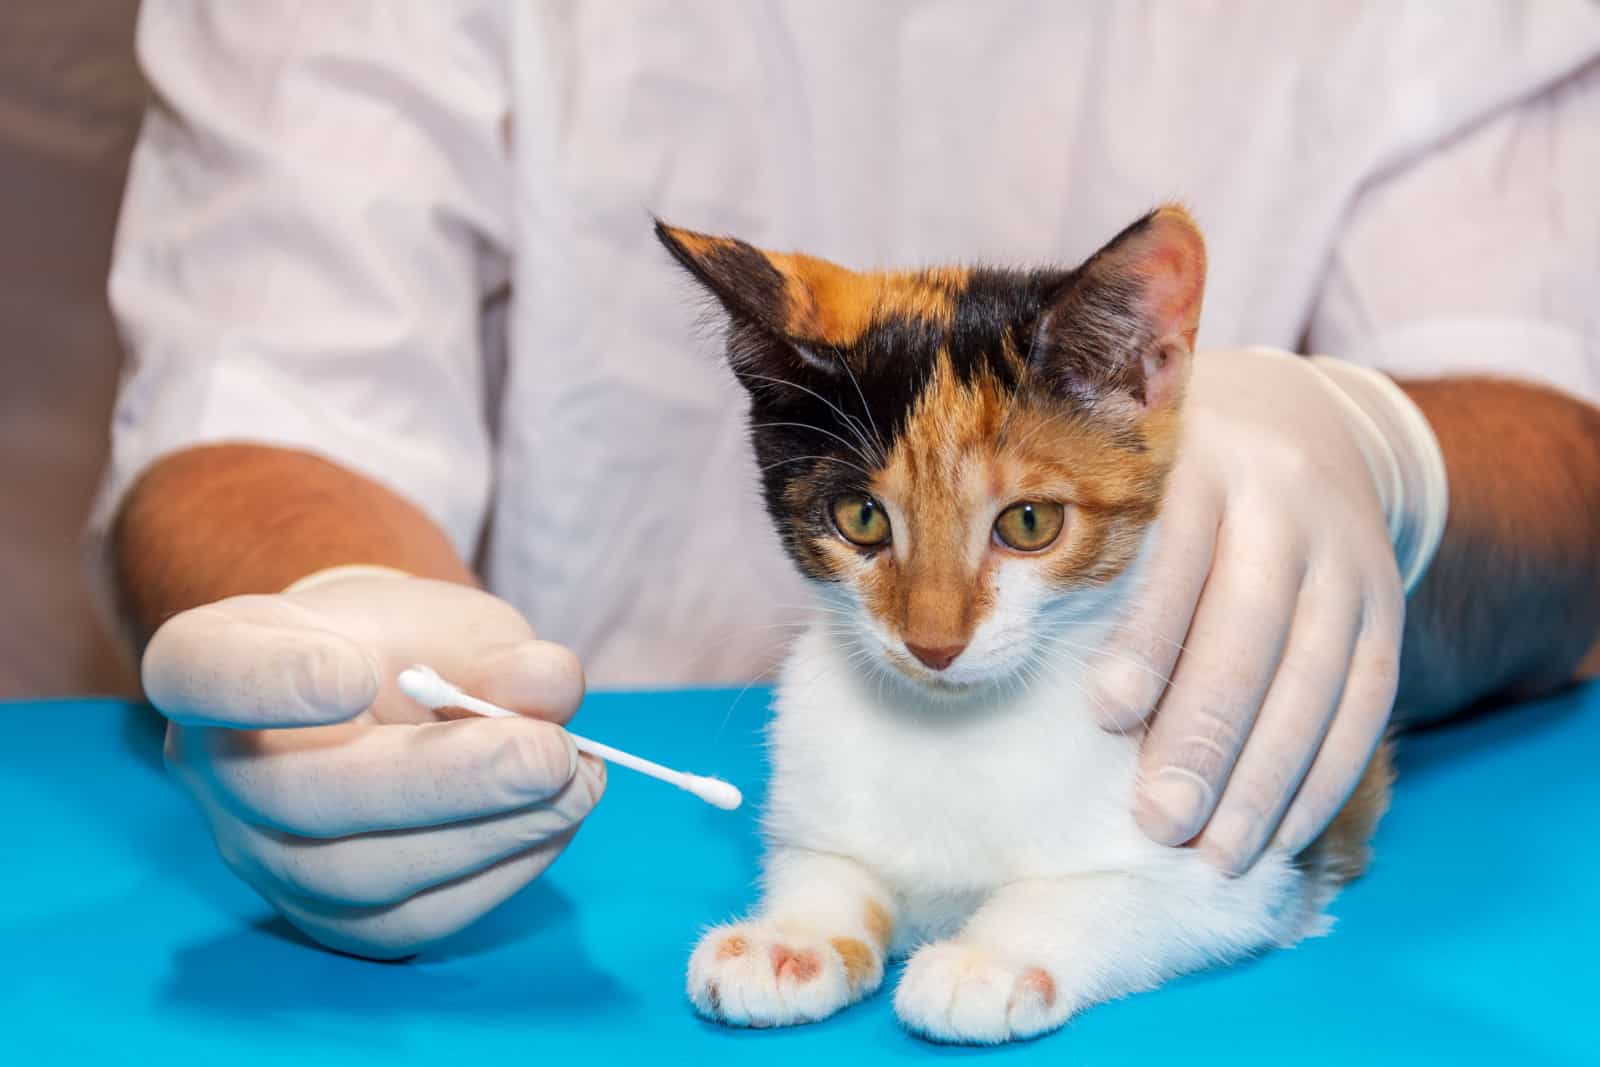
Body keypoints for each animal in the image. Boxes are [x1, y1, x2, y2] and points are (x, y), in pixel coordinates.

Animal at [656, 207, 1395, 1043]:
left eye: (1030, 521)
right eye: (861, 517)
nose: (933, 642)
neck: (956, 730)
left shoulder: (1241, 865)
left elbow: (1112, 892)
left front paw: (991, 958)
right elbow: (825, 862)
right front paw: (794, 936)